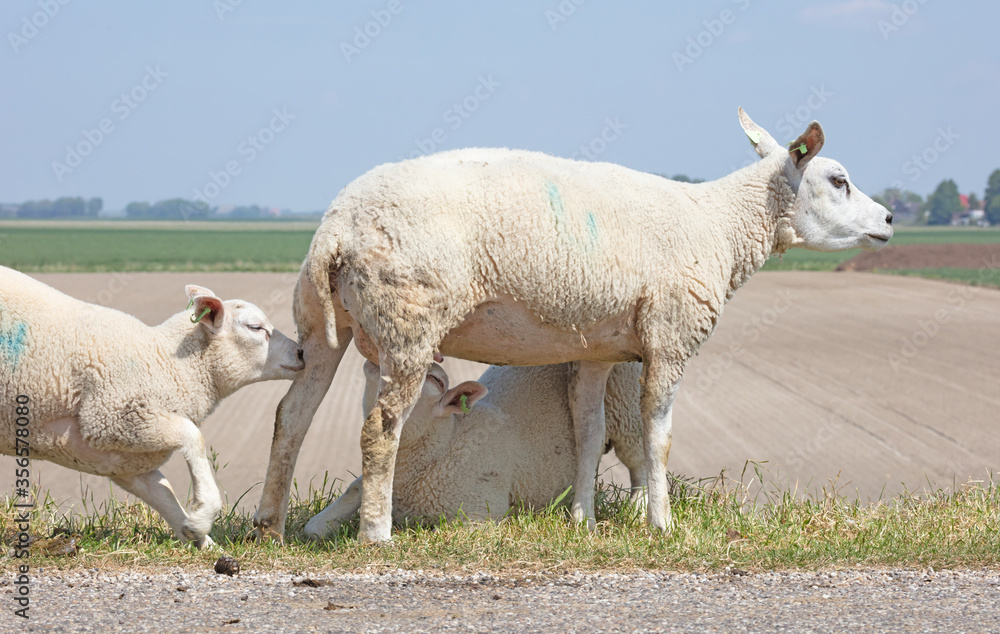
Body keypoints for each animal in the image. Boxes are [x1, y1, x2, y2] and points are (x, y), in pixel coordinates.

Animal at [0, 266, 304, 547]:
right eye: (255, 327)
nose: (302, 353)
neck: (167, 362)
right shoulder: (114, 417)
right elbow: (193, 436)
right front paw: (204, 512)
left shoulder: (122, 459)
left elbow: (165, 496)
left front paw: (200, 537)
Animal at [304, 360, 644, 538]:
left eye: (434, 379)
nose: (375, 361)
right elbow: (316, 524)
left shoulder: (481, 514)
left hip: (625, 401)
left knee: (637, 460)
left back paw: (638, 511)